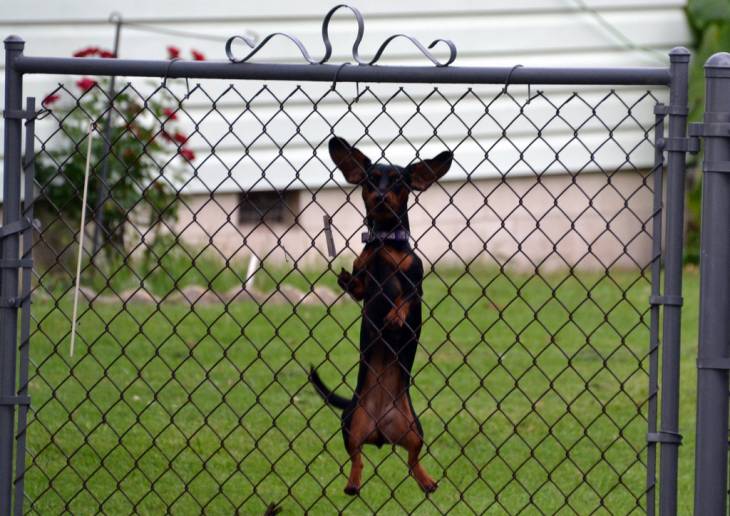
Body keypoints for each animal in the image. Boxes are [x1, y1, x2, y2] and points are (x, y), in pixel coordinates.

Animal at [308, 137, 450, 496]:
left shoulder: (416, 284)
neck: (385, 242)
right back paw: (352, 483)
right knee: (356, 457)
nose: (381, 196)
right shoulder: (366, 278)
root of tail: (381, 431)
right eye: (372, 180)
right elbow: (359, 284)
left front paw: (396, 316)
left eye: (398, 182)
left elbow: (404, 297)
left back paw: (427, 480)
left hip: (415, 429)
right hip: (350, 425)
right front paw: (348, 280)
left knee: (413, 460)